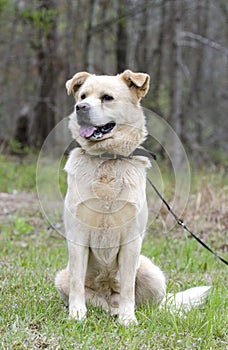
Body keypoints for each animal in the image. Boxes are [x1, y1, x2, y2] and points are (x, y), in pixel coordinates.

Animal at [55, 69, 210, 326]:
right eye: (83, 95)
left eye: (107, 97)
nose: (80, 107)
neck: (108, 159)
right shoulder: (77, 236)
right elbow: (78, 284)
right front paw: (76, 315)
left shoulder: (131, 240)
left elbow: (128, 286)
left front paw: (128, 319)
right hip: (61, 277)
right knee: (97, 301)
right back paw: (105, 310)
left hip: (152, 273)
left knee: (154, 305)